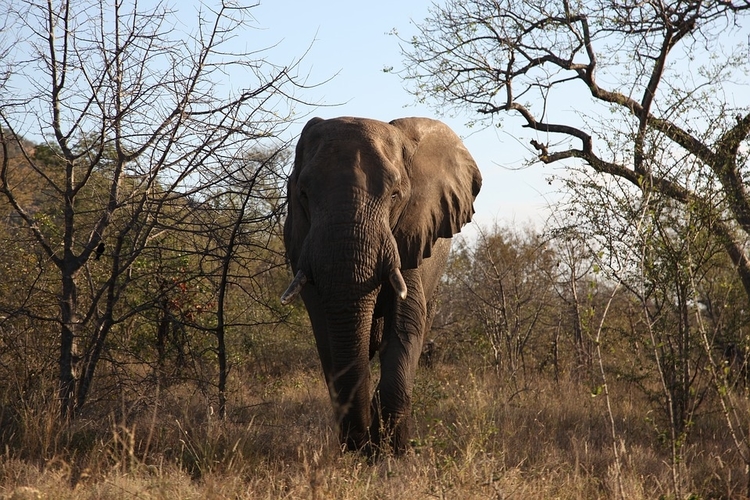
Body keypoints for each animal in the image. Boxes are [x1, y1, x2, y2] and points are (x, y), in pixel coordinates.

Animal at [280, 116, 482, 454]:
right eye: (303, 194)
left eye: (395, 195)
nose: (360, 445)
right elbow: (325, 331)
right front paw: (362, 449)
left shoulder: (410, 236)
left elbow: (406, 323)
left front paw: (393, 452)